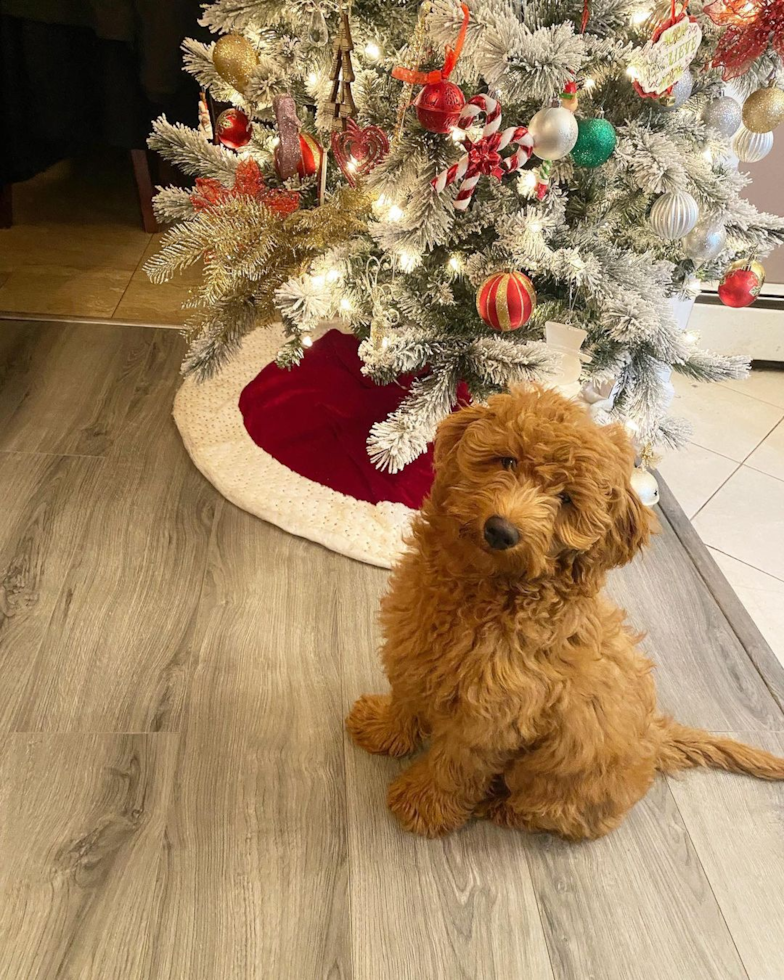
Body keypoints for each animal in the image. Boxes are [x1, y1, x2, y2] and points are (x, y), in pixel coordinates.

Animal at [348, 386, 784, 840]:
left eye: (566, 500)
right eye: (508, 461)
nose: (501, 530)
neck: (484, 592)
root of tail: (655, 737)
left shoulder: (491, 718)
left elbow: (456, 765)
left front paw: (423, 804)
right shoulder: (413, 645)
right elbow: (406, 700)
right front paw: (381, 729)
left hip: (555, 788)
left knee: (550, 812)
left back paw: (499, 806)